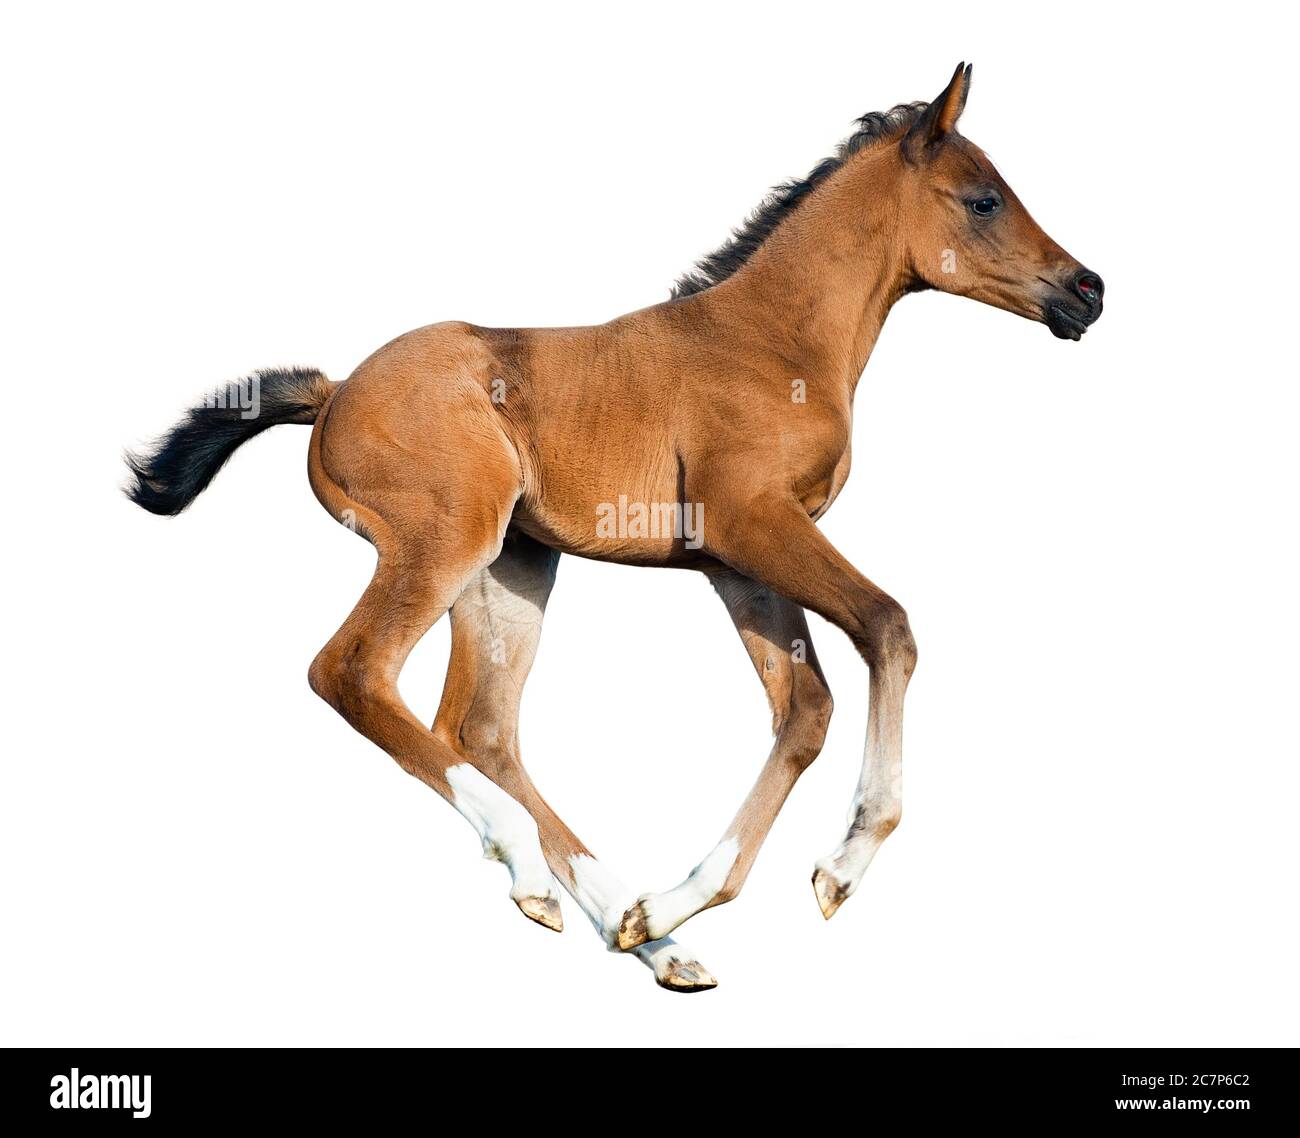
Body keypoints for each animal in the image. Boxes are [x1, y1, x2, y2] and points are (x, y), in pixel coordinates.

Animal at [129, 64, 1107, 988]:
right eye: (983, 199)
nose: (1088, 290)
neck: (775, 340)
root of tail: (334, 395)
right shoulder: (755, 522)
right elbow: (888, 626)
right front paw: (843, 865)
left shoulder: (735, 562)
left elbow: (805, 711)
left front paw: (670, 907)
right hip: (444, 541)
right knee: (354, 671)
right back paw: (531, 868)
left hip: (511, 567)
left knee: (481, 728)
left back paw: (637, 932)